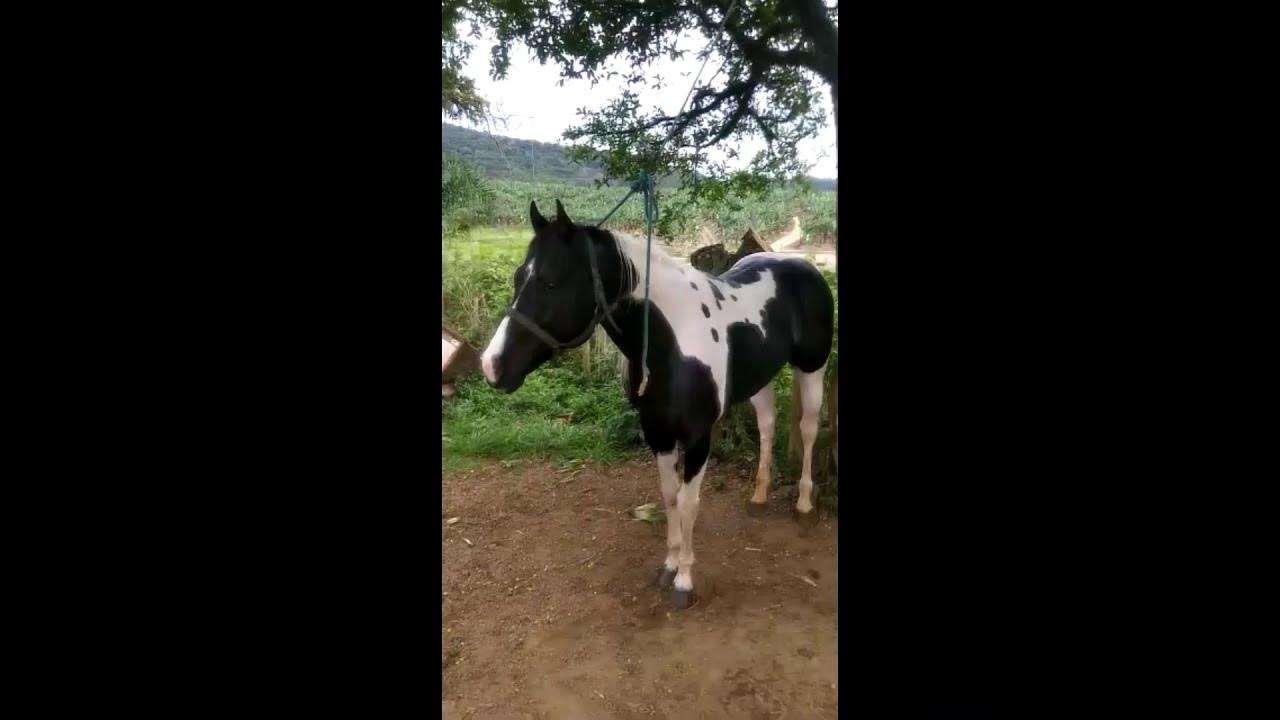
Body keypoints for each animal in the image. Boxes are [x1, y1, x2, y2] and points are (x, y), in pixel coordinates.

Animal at [479, 199, 835, 609]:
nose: (491, 365)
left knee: (808, 429)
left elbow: (689, 502)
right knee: (767, 423)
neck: (674, 342)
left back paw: (804, 505)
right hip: (758, 378)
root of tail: (799, 264)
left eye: (552, 282)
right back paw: (759, 496)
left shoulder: (697, 438)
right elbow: (669, 496)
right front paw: (669, 565)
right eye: (518, 277)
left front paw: (684, 581)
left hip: (813, 367)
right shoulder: (657, 432)